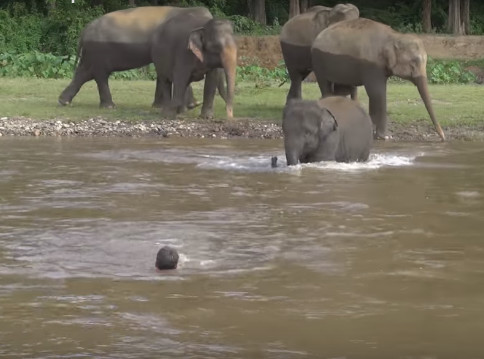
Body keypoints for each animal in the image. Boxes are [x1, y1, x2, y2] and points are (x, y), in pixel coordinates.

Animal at [312, 17, 444, 141]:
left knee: (342, 91)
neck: (394, 36)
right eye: (414, 62)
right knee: (326, 88)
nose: (443, 138)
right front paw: (384, 137)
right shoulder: (371, 65)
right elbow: (377, 93)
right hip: (319, 62)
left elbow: (375, 94)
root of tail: (318, 36)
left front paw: (374, 134)